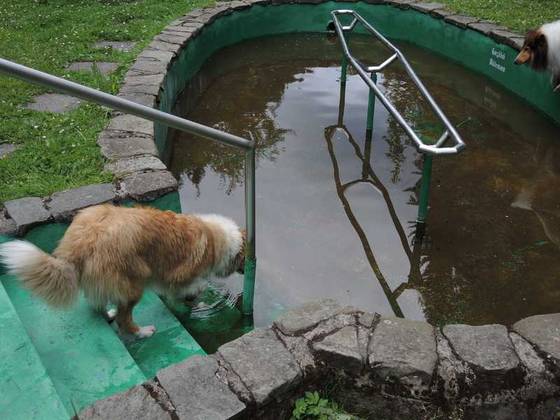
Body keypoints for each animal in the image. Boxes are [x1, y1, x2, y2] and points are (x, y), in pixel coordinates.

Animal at [0, 204, 245, 339]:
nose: (245, 270)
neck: (215, 239)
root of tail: (81, 243)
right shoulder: (177, 275)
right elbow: (194, 287)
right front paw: (197, 300)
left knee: (98, 305)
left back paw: (109, 313)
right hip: (134, 284)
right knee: (124, 320)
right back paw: (142, 332)